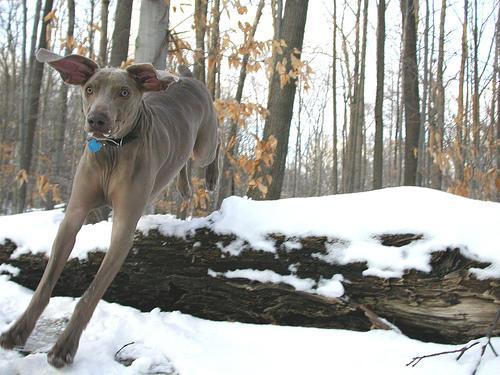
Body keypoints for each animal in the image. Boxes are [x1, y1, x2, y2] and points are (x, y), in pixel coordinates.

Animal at [0, 48, 219, 368]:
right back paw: (184, 187)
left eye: (124, 92)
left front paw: (64, 347)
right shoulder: (73, 216)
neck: (111, 151)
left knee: (216, 146)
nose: (96, 120)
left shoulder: (124, 229)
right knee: (182, 163)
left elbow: (91, 295)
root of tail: (189, 77)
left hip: (205, 144)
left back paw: (212, 177)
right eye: (89, 89)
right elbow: (45, 284)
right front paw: (17, 331)